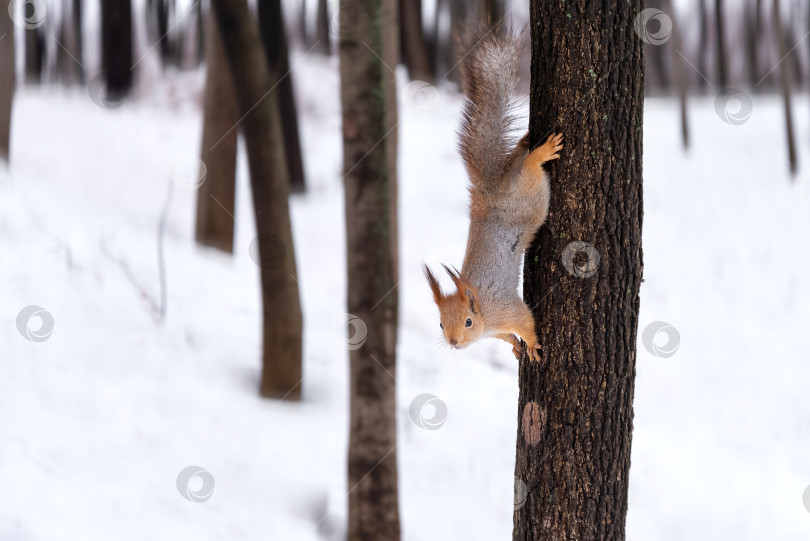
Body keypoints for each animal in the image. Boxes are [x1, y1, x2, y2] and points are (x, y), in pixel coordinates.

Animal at [422, 26, 560, 362]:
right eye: (441, 323)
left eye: (468, 322)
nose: (454, 343)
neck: (484, 313)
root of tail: (490, 192)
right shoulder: (495, 329)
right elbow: (507, 336)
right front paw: (513, 346)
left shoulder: (506, 310)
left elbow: (525, 321)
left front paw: (532, 344)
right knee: (519, 157)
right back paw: (525, 141)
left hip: (530, 198)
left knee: (531, 167)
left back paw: (541, 151)